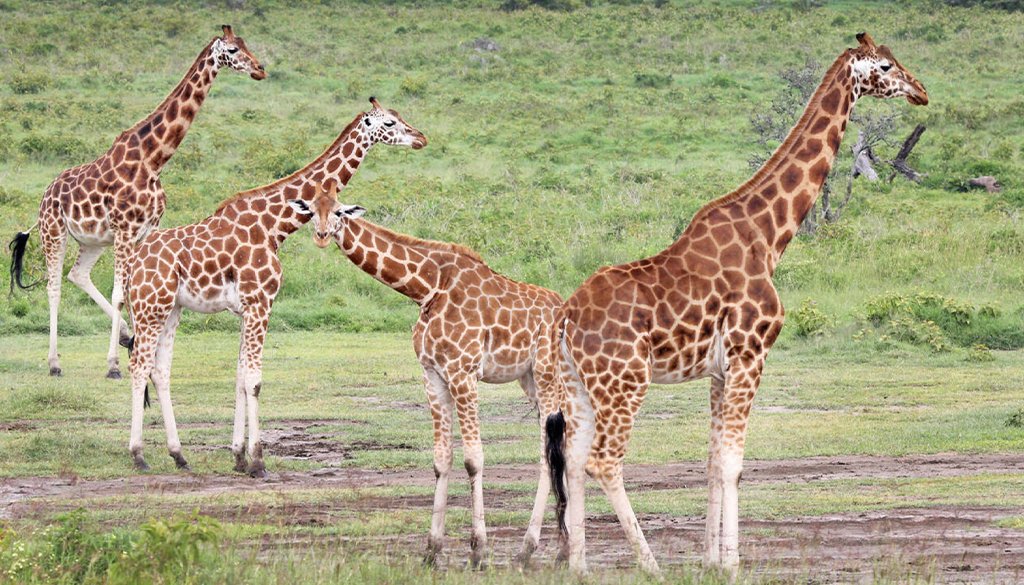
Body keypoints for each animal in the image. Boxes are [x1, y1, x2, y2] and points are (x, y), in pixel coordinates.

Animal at [8, 25, 266, 379]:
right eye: (232, 49)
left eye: (244, 43)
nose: (260, 69)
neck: (154, 159)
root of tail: (45, 195)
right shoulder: (125, 230)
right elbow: (120, 293)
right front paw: (114, 365)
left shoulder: (143, 232)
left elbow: (133, 289)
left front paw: (137, 350)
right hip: (54, 232)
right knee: (54, 287)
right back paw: (55, 362)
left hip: (93, 241)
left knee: (78, 275)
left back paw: (124, 335)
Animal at [124, 99, 426, 476]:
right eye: (389, 122)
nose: (421, 138)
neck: (274, 226)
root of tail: (132, 262)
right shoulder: (261, 302)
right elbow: (254, 379)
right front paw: (257, 461)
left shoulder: (246, 308)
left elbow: (240, 376)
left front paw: (238, 456)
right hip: (151, 306)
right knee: (139, 366)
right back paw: (138, 455)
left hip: (171, 308)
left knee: (160, 370)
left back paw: (179, 455)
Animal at [298, 183, 567, 568]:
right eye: (309, 209)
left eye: (338, 211)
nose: (320, 236)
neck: (426, 288)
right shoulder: (432, 374)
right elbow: (442, 459)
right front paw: (431, 550)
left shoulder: (462, 371)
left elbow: (473, 459)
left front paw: (478, 551)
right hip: (530, 378)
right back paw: (550, 549)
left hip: (546, 373)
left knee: (552, 450)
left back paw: (537, 548)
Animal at [543, 33, 929, 575]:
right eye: (887, 66)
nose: (921, 92)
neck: (768, 236)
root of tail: (567, 318)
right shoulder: (751, 354)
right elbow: (733, 463)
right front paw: (731, 563)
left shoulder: (720, 369)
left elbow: (711, 462)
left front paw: (709, 560)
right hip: (625, 382)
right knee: (604, 460)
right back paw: (651, 565)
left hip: (578, 385)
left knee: (575, 461)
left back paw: (579, 567)